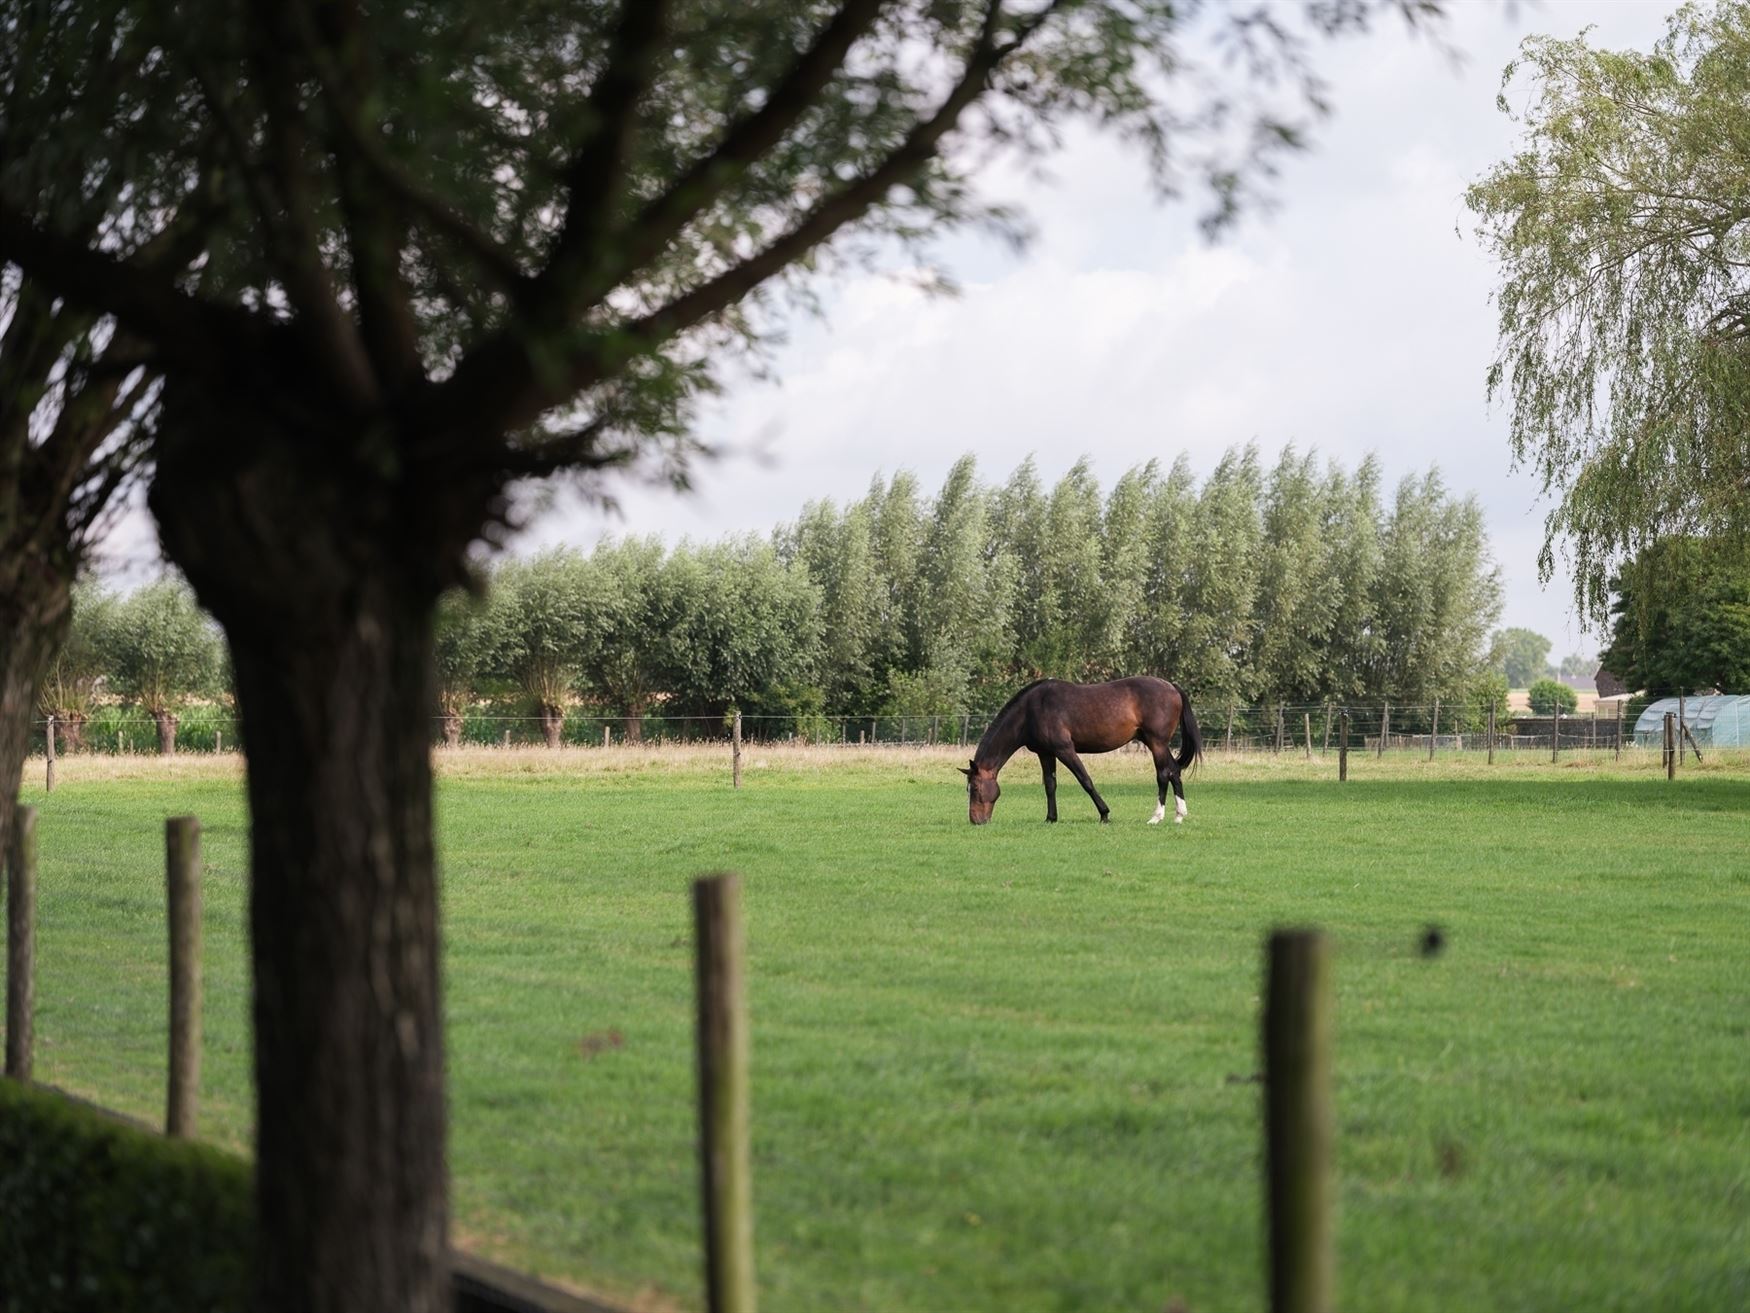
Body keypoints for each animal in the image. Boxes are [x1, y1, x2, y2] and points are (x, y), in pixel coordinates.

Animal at [959, 682, 1204, 826]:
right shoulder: (1045, 753)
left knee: (1163, 774)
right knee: (1174, 772)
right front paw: (1051, 818)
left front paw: (1104, 814)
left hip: (1157, 743)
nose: (976, 821)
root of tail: (1172, 688)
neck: (1031, 710)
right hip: (1154, 743)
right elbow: (1050, 785)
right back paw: (1179, 815)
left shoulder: (1064, 750)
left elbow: (1085, 780)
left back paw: (1156, 817)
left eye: (976, 788)